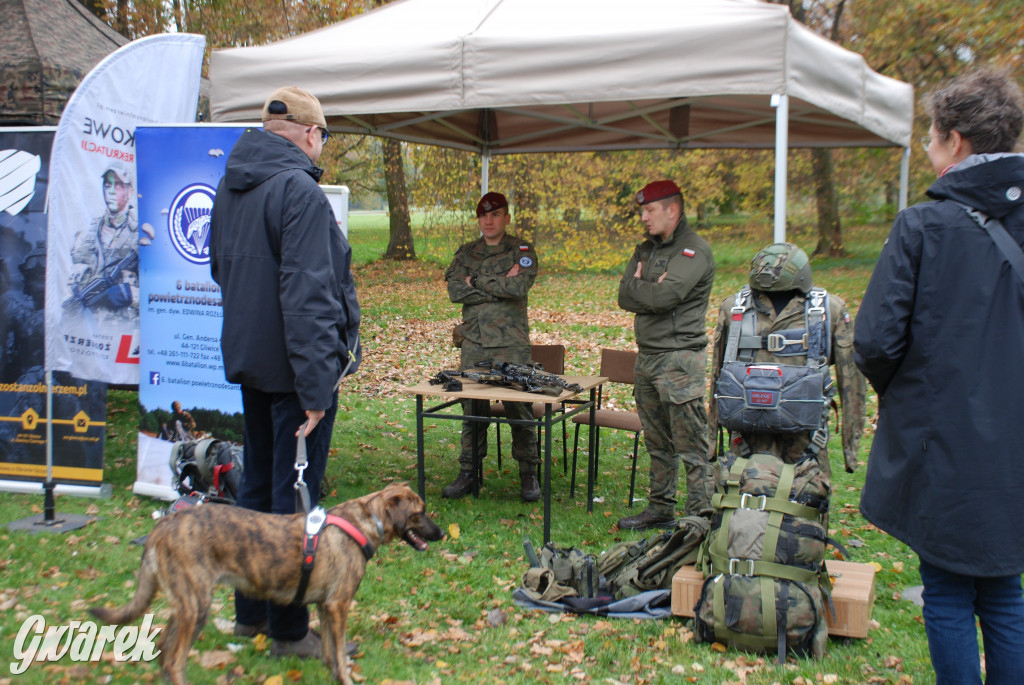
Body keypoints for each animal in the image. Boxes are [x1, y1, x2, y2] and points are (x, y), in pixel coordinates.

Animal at [95, 481, 444, 683]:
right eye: (421, 512)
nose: (441, 534)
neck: (366, 521)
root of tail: (163, 527)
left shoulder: (325, 606)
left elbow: (331, 652)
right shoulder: (339, 605)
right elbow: (340, 655)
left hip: (185, 606)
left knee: (165, 650)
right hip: (196, 605)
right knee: (174, 659)